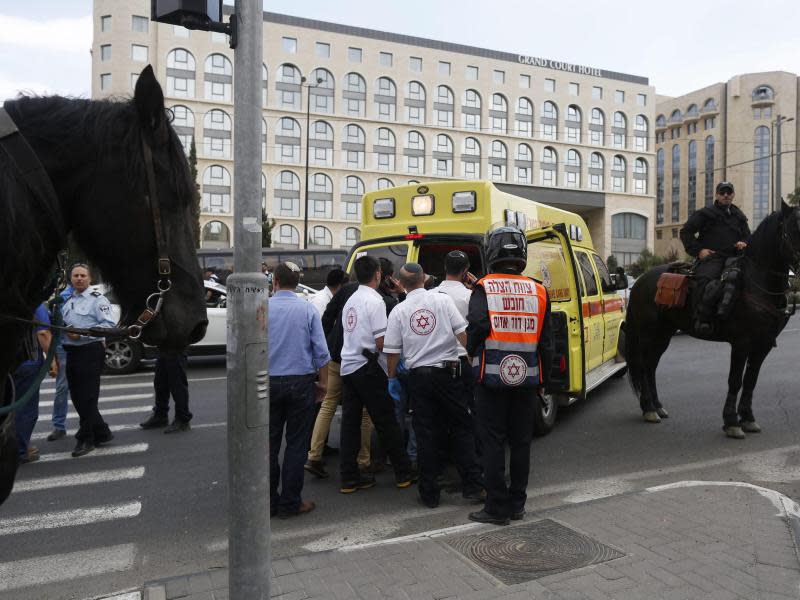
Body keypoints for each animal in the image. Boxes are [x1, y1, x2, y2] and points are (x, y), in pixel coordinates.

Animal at [624, 202, 800, 436]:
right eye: (792, 231)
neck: (757, 283)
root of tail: (639, 281)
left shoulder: (762, 345)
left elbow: (751, 380)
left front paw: (748, 418)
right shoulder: (742, 343)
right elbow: (735, 380)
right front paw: (732, 421)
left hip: (663, 335)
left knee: (651, 366)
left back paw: (657, 406)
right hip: (647, 334)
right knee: (644, 366)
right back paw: (649, 409)